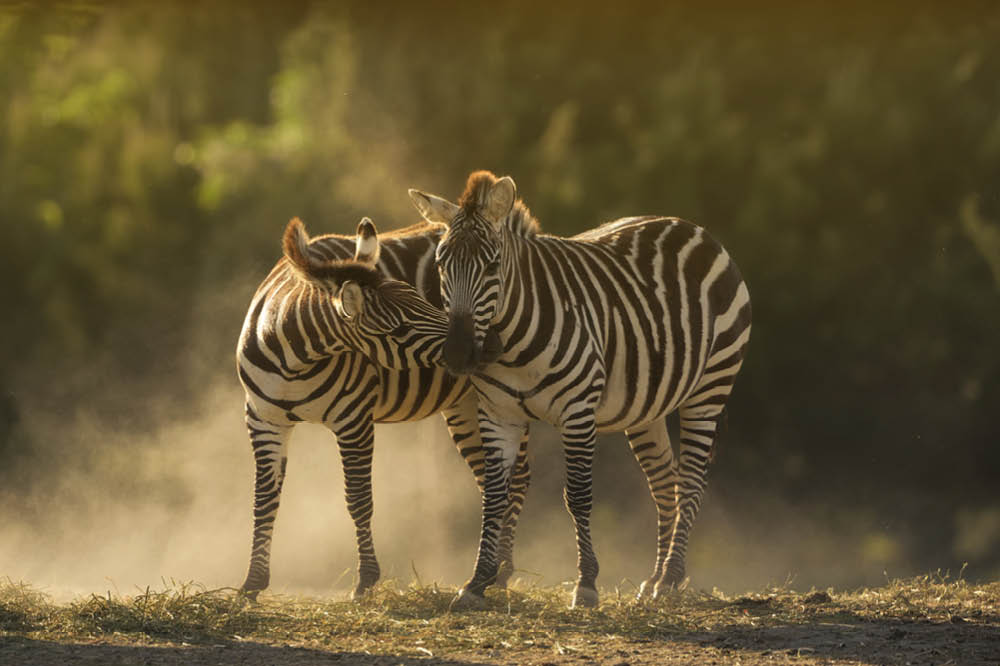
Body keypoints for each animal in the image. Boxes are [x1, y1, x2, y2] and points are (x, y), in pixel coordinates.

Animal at [235, 215, 532, 600]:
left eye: (424, 299)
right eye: (399, 329)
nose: (492, 345)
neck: (294, 359)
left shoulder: (354, 418)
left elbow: (359, 498)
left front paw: (365, 580)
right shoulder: (263, 420)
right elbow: (263, 500)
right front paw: (252, 583)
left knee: (518, 477)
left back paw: (502, 570)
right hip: (465, 404)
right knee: (491, 479)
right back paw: (493, 568)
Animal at [408, 170, 752, 608]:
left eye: (493, 265)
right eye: (441, 264)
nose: (457, 353)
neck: (513, 342)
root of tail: (690, 226)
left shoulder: (577, 411)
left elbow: (578, 496)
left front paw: (586, 584)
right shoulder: (498, 414)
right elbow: (494, 495)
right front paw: (477, 581)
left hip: (710, 386)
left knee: (690, 479)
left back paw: (671, 578)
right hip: (648, 407)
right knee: (665, 482)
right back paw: (656, 579)